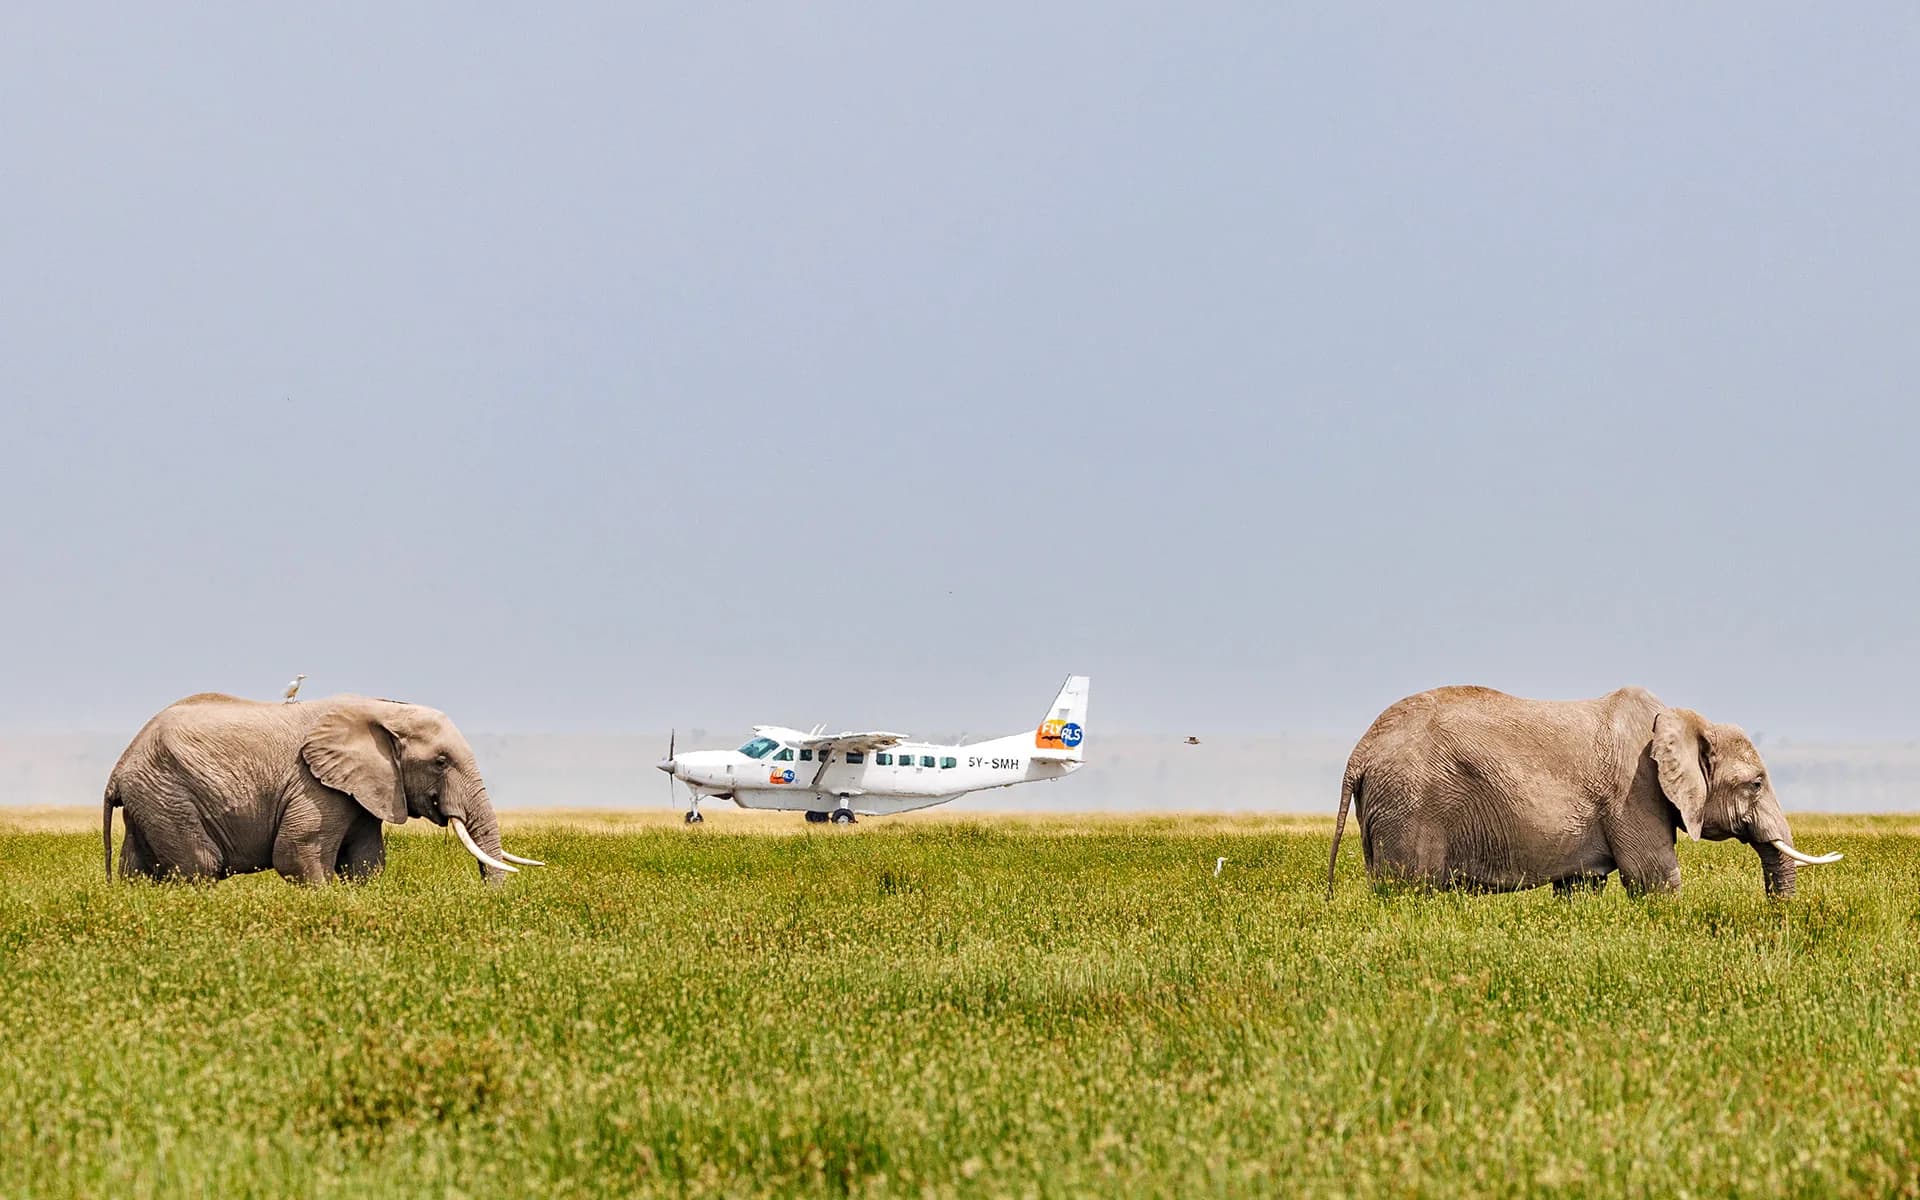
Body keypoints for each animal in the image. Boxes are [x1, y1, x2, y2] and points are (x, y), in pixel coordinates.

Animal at [102, 692, 544, 884]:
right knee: (200, 865)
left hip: (151, 800)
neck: (381, 710)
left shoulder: (365, 791)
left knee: (136, 869)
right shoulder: (315, 786)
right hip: (170, 794)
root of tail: (119, 768)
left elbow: (366, 862)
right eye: (440, 761)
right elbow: (297, 855)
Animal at [1326, 686, 1841, 898]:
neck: (1685, 719)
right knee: (1408, 889)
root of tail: (1360, 751)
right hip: (1410, 804)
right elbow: (1654, 879)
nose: (1778, 925)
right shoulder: (1633, 793)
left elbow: (1579, 885)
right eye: (1756, 784)